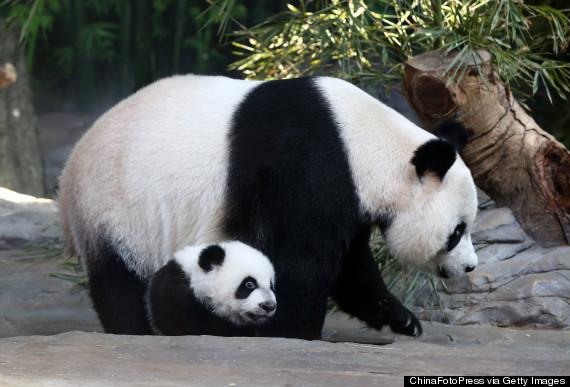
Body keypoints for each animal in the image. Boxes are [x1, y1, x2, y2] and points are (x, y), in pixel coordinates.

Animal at [58, 75, 474, 340]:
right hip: (114, 208)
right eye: (458, 231)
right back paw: (137, 331)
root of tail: (68, 172)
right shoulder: (307, 170)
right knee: (121, 282)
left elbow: (352, 269)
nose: (470, 266)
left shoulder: (348, 198)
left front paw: (403, 320)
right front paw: (292, 333)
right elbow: (301, 264)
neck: (364, 144)